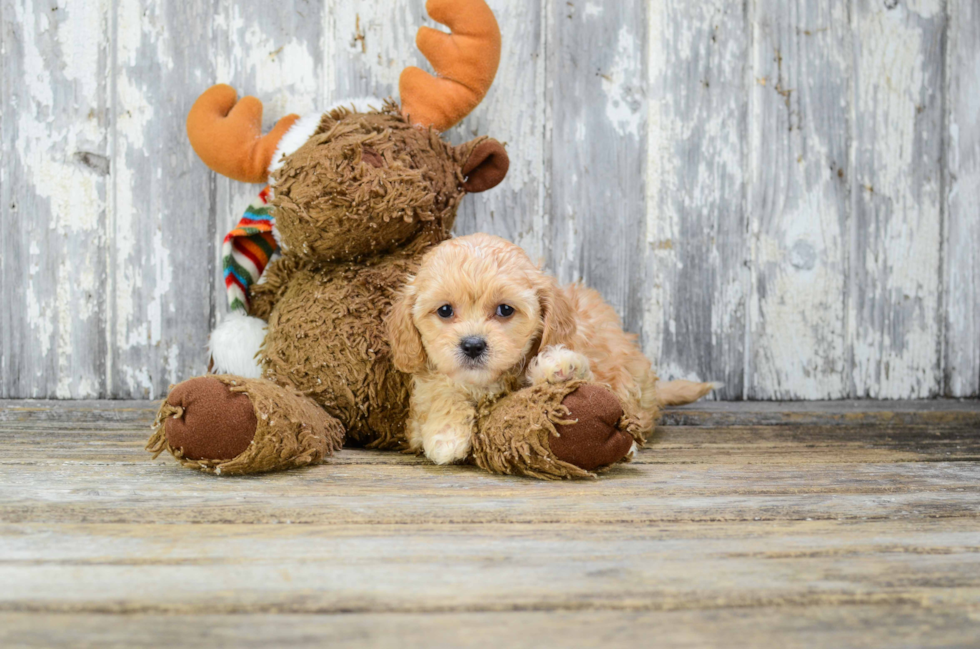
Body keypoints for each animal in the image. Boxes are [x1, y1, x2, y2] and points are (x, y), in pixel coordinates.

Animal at [386, 233, 716, 466]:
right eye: (444, 310)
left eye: (505, 310)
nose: (473, 345)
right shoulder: (423, 394)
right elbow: (442, 394)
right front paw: (446, 435)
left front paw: (560, 367)